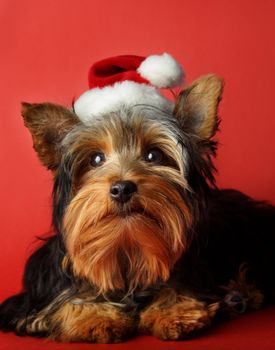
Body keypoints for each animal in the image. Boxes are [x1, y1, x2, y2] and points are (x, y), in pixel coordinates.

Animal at [0, 53, 275, 344]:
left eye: (154, 155)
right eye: (95, 159)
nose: (122, 188)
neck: (128, 251)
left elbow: (177, 287)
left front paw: (174, 311)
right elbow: (67, 302)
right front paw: (93, 316)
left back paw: (241, 293)